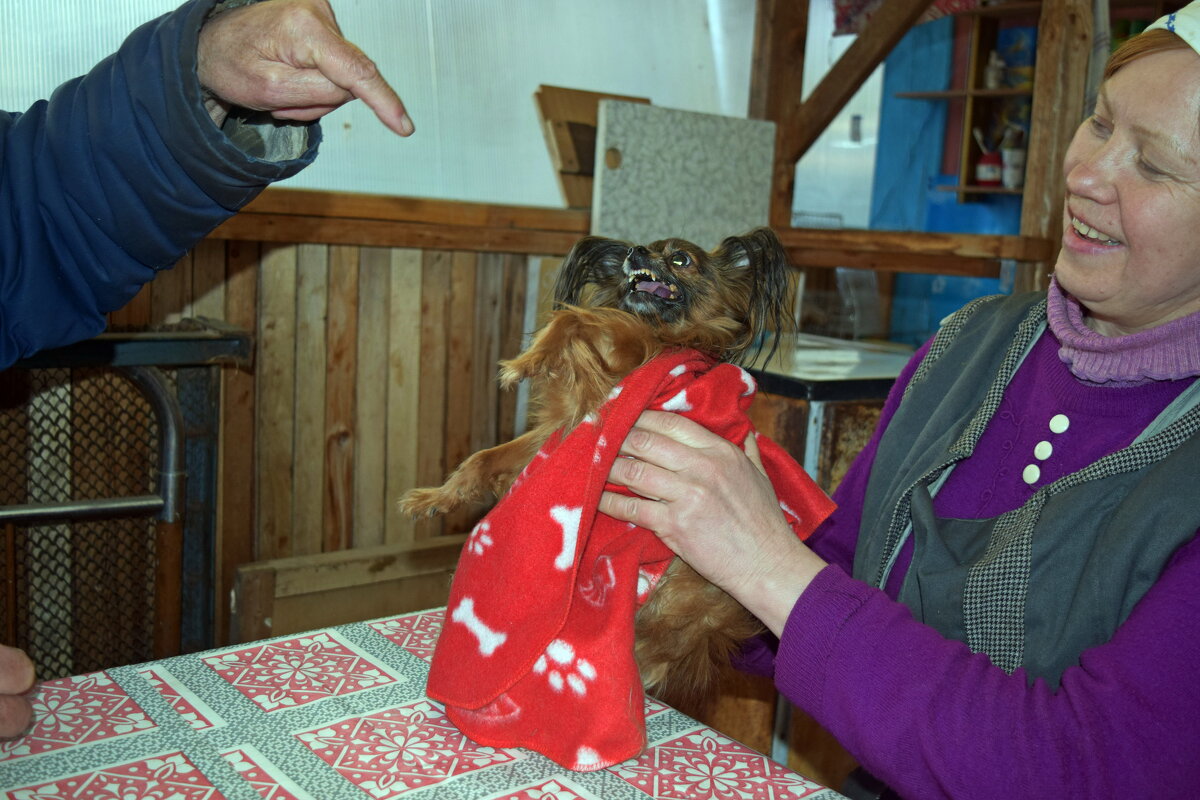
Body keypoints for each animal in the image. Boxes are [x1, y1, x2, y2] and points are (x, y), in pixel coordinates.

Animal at [403, 227, 792, 710]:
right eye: (640, 250)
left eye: (681, 259)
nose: (635, 253)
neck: (660, 332)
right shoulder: (559, 427)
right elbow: (483, 459)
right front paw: (436, 498)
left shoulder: (619, 360)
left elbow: (577, 317)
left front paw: (527, 360)